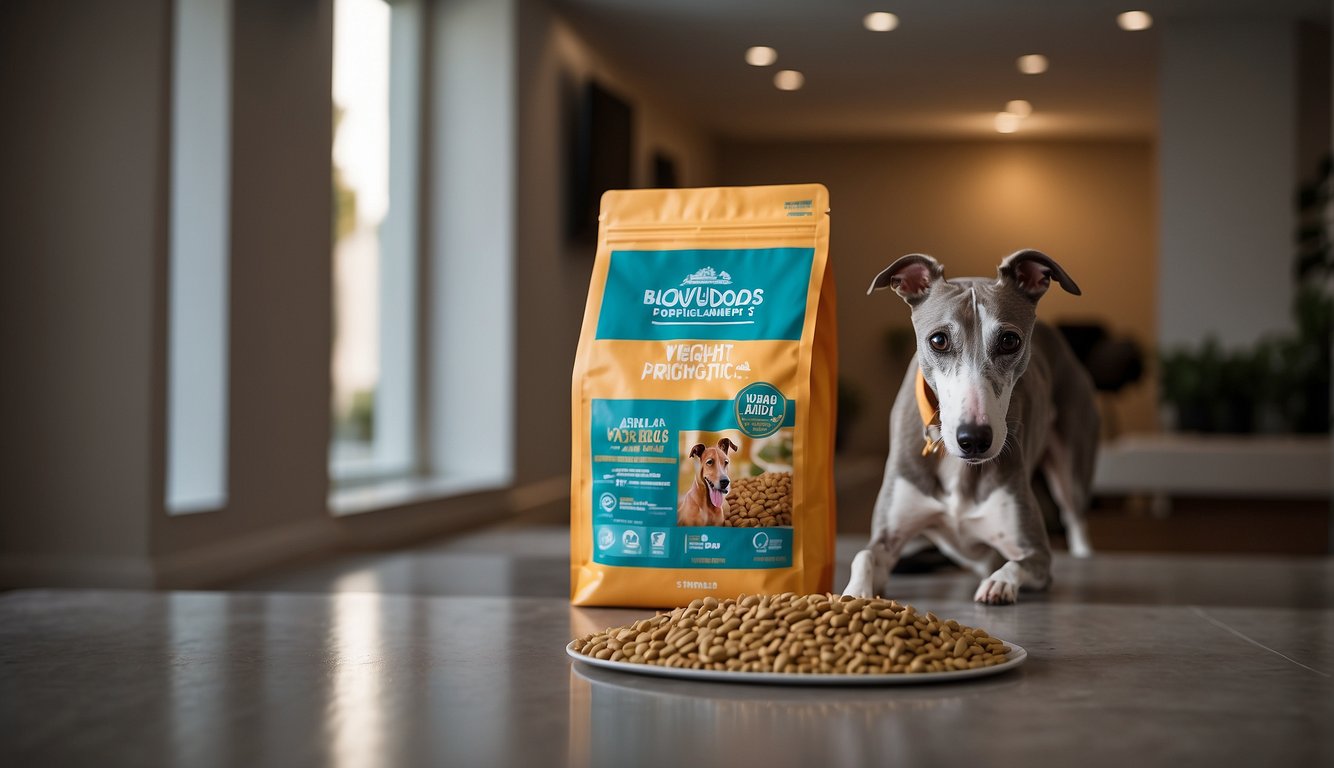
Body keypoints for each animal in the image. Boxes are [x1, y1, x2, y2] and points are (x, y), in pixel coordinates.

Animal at [843, 249, 1093, 602]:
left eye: (1010, 340)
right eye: (938, 340)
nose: (973, 439)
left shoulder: (1037, 554)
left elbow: (1019, 564)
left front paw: (999, 583)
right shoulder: (888, 535)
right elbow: (864, 554)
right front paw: (854, 593)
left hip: (1070, 469)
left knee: (1075, 518)